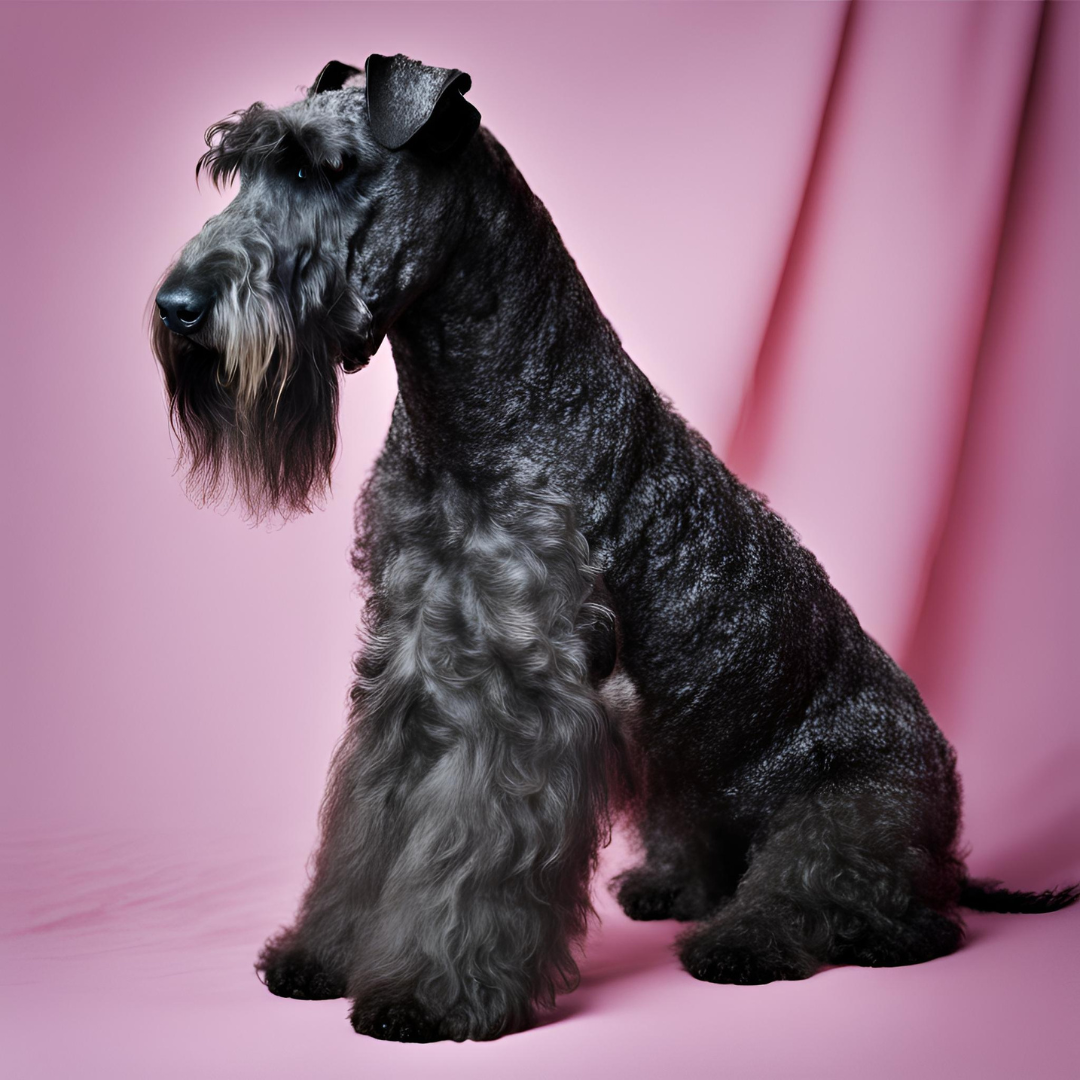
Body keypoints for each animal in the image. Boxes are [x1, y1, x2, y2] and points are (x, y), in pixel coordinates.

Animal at [147, 54, 1075, 1041]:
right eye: (239, 169)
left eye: (324, 169)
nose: (178, 307)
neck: (472, 416)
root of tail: (949, 836)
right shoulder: (407, 668)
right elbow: (370, 829)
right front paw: (324, 955)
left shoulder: (521, 698)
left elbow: (470, 857)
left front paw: (430, 993)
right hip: (682, 785)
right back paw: (669, 886)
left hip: (848, 814)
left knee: (865, 909)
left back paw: (745, 944)